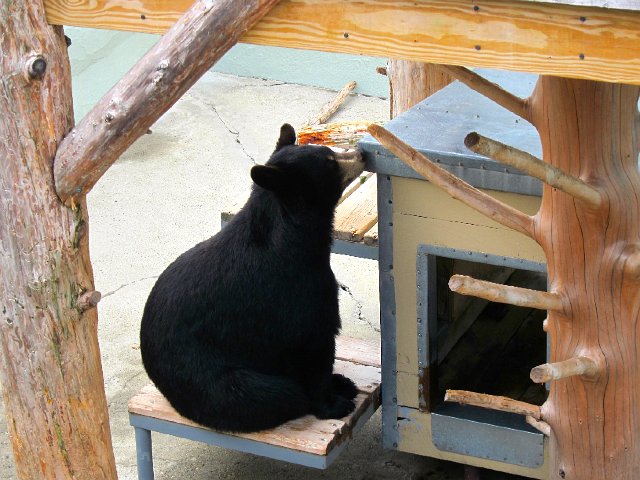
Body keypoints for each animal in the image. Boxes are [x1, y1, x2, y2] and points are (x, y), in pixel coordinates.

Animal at [140, 123, 366, 433]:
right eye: (331, 161)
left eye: (328, 151)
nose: (361, 153)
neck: (295, 237)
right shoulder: (297, 288)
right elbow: (315, 340)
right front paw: (333, 404)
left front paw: (340, 384)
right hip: (211, 382)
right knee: (278, 393)